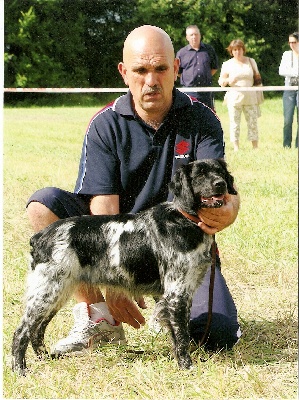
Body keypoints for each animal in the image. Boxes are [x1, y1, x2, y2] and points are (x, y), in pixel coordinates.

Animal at [11, 159, 239, 376]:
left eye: (219, 171)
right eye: (199, 174)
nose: (220, 184)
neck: (184, 219)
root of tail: (39, 237)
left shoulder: (180, 294)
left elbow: (177, 336)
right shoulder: (176, 294)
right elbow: (182, 337)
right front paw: (187, 367)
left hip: (57, 293)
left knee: (37, 330)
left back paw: (44, 357)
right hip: (48, 292)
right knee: (21, 332)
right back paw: (19, 369)